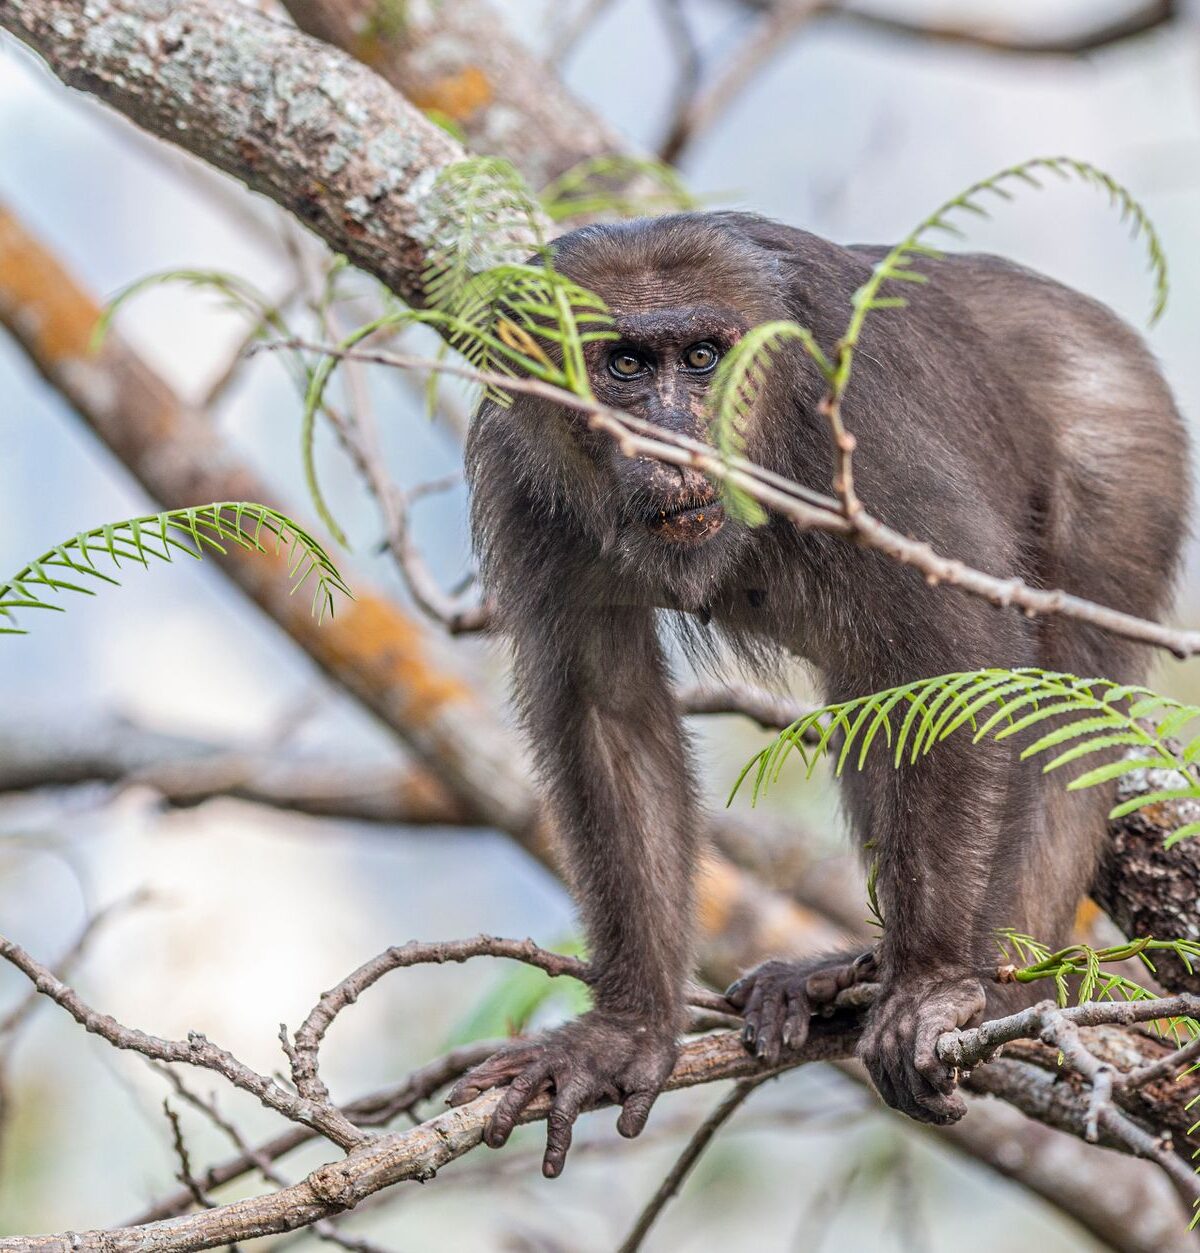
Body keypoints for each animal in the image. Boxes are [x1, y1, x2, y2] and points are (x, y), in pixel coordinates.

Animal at [447, 211, 1189, 1177]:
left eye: (701, 358)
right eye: (625, 365)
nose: (672, 436)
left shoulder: (851, 422)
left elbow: (959, 657)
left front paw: (934, 981)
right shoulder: (523, 476)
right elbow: (607, 711)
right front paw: (627, 1027)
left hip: (1124, 447)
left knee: (1056, 705)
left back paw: (997, 986)